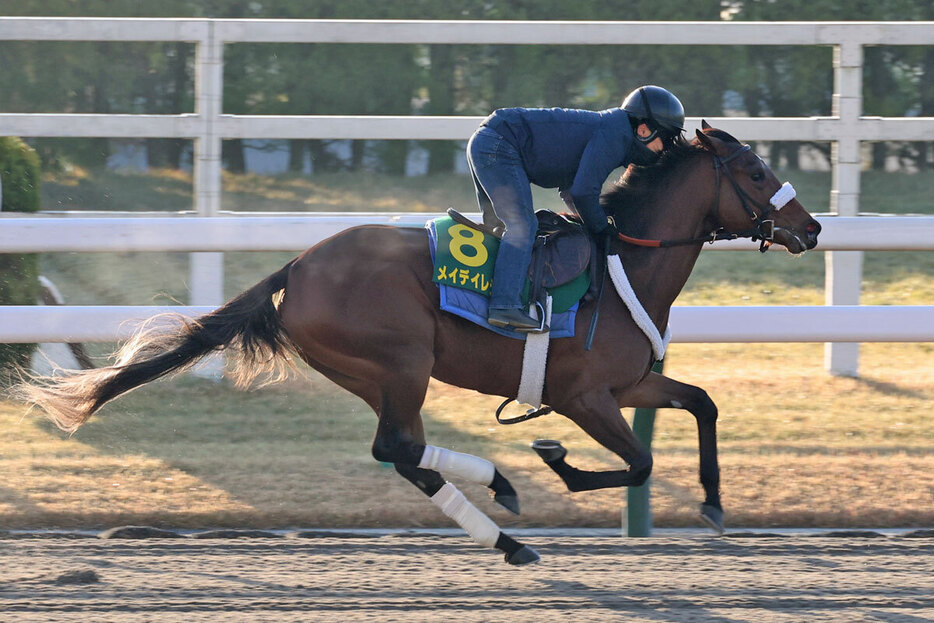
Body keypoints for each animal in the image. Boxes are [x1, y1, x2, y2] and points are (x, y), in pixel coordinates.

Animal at [12, 122, 820, 564]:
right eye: (756, 171)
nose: (810, 227)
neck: (626, 263)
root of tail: (297, 266)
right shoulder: (584, 395)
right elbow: (641, 461)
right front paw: (554, 461)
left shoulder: (630, 385)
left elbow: (703, 404)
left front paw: (713, 504)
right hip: (402, 361)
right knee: (400, 447)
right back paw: (505, 500)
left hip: (373, 371)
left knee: (400, 452)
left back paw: (505, 522)